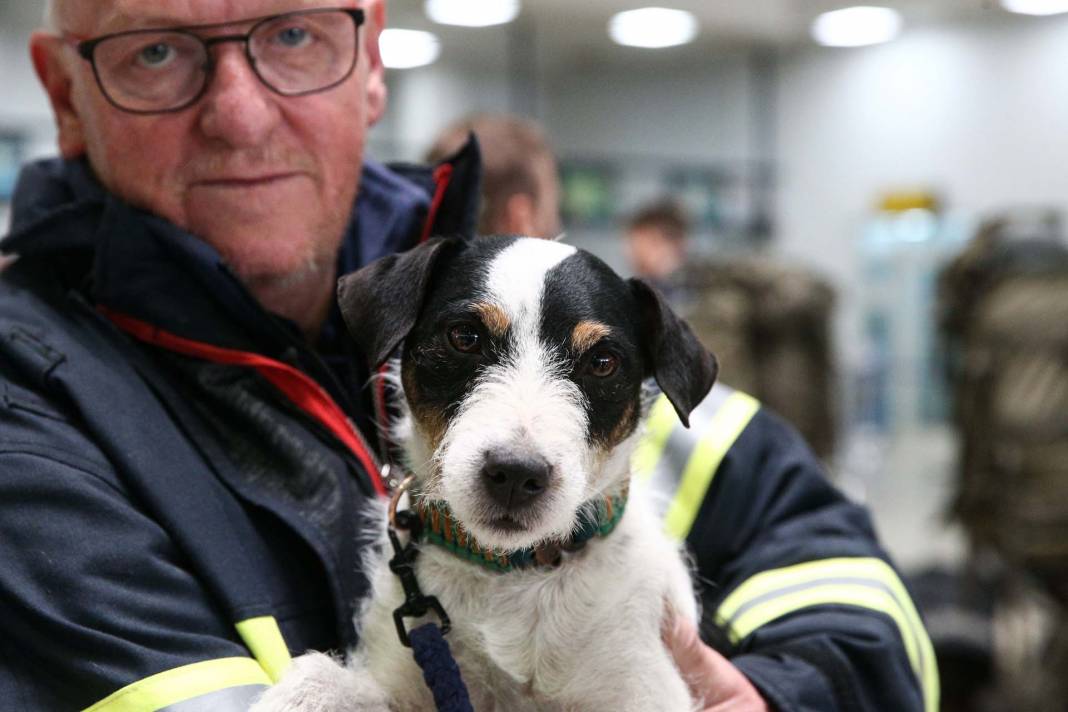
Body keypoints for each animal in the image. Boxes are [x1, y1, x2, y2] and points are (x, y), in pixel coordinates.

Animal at [252, 236, 717, 708]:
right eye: (465, 337)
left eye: (603, 362)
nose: (515, 475)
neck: (514, 570)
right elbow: (323, 679)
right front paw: (296, 694)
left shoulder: (640, 685)